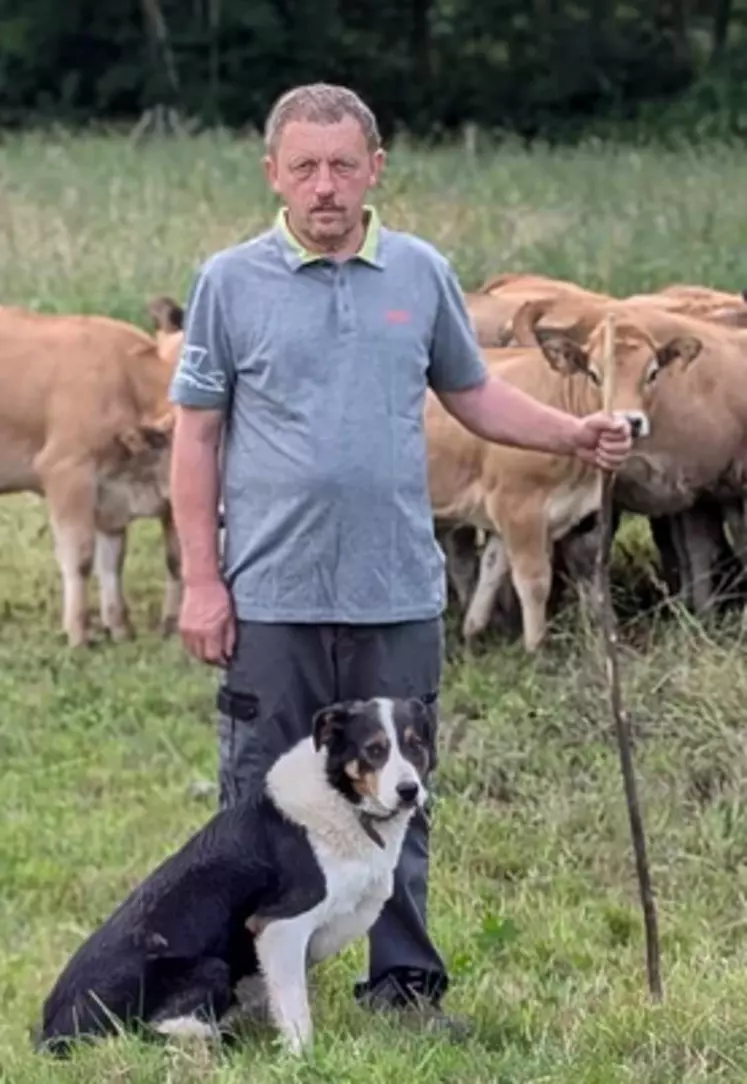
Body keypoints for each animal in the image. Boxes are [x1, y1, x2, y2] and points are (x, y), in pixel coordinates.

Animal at [0, 305, 178, 641]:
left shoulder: (111, 493)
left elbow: (111, 561)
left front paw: (119, 628)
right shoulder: (67, 470)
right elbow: (80, 557)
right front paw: (78, 632)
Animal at [34, 693, 433, 1057]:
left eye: (416, 745)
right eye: (374, 750)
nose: (409, 791)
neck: (343, 800)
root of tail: (49, 1033)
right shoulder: (279, 925)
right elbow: (296, 1011)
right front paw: (300, 1059)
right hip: (209, 968)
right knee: (153, 1032)